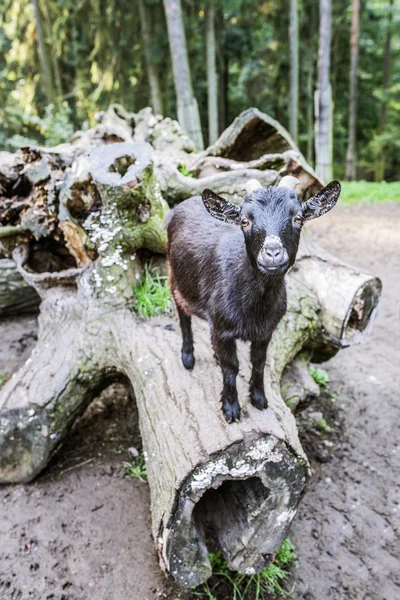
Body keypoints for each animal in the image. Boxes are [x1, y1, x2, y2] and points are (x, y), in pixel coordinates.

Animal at [167, 178, 342, 422]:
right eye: (244, 221)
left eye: (298, 218)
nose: (272, 253)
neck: (255, 307)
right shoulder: (221, 327)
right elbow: (231, 367)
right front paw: (231, 408)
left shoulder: (266, 330)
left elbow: (259, 362)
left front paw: (259, 399)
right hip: (174, 277)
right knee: (182, 314)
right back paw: (188, 357)